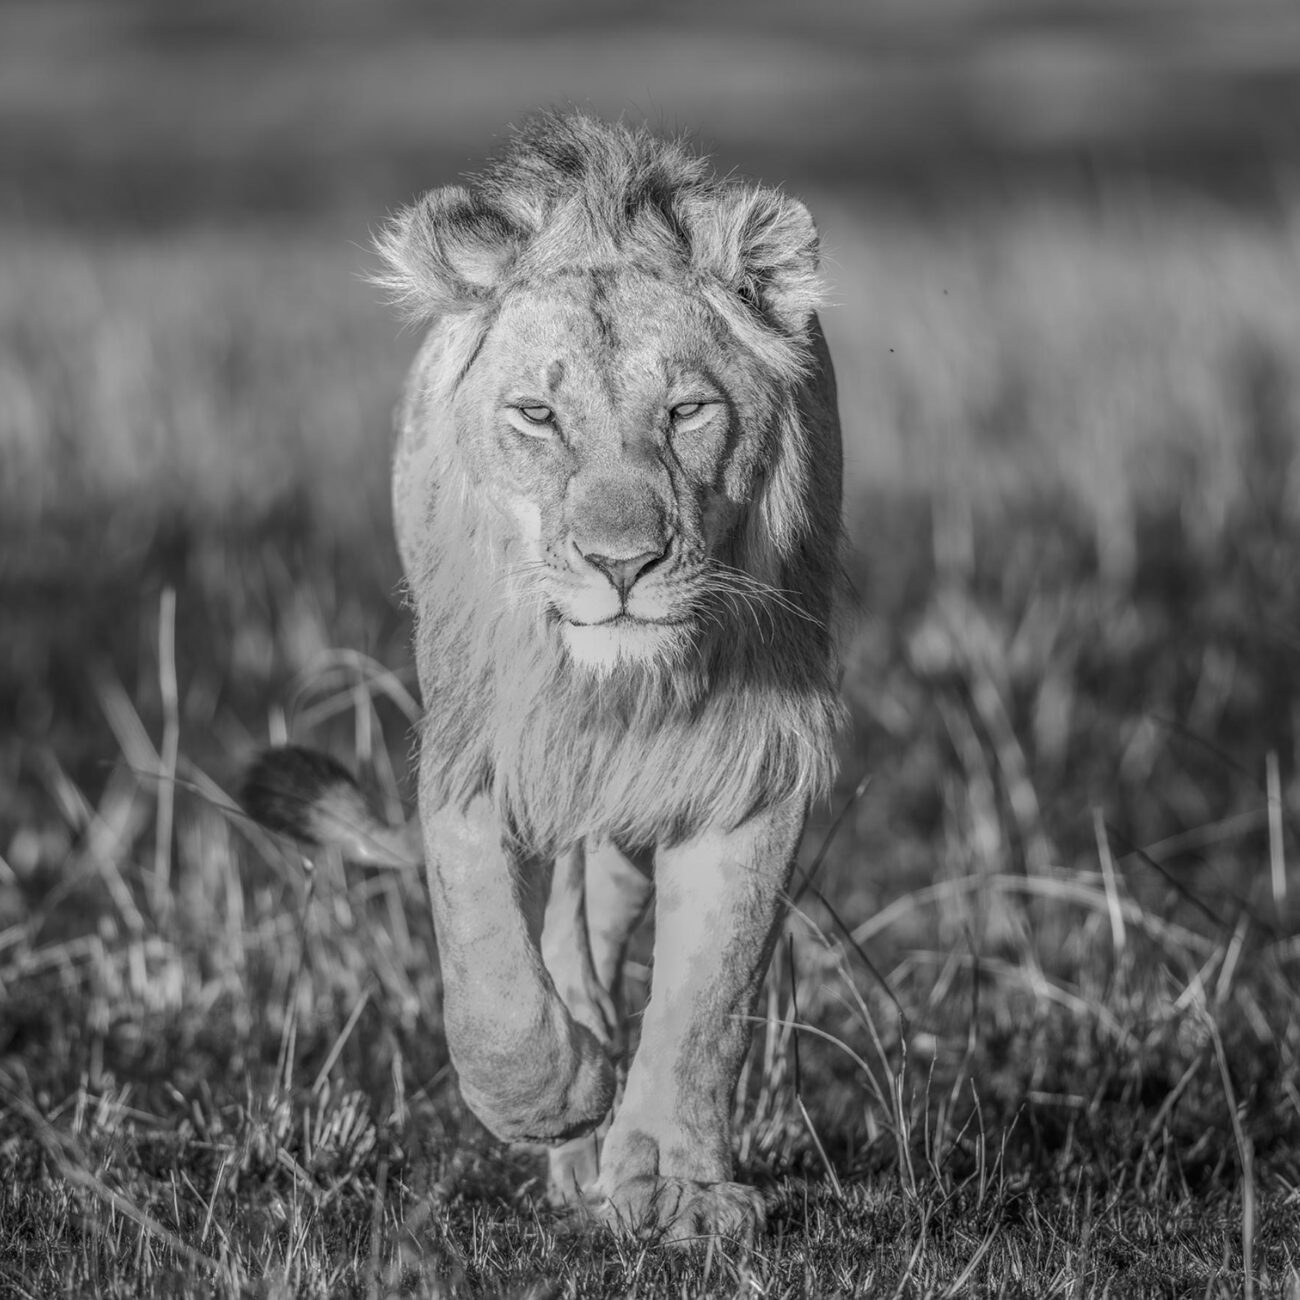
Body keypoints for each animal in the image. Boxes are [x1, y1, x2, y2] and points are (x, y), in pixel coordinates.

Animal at [243, 113, 843, 1243]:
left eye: (686, 411)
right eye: (535, 415)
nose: (622, 564)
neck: (615, 686)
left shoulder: (751, 761)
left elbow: (710, 991)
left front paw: (678, 1186)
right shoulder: (474, 757)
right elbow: (491, 974)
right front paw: (555, 1100)